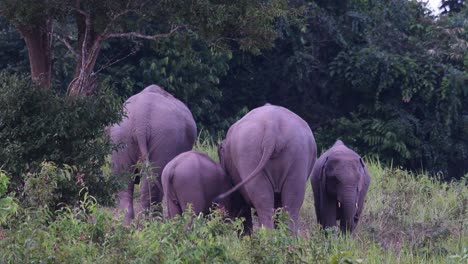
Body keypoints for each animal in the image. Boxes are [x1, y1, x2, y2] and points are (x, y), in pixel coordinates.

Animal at [109, 84, 196, 225]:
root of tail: (141, 117)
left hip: (121, 135)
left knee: (124, 180)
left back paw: (127, 226)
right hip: (165, 137)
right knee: (153, 179)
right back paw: (151, 223)